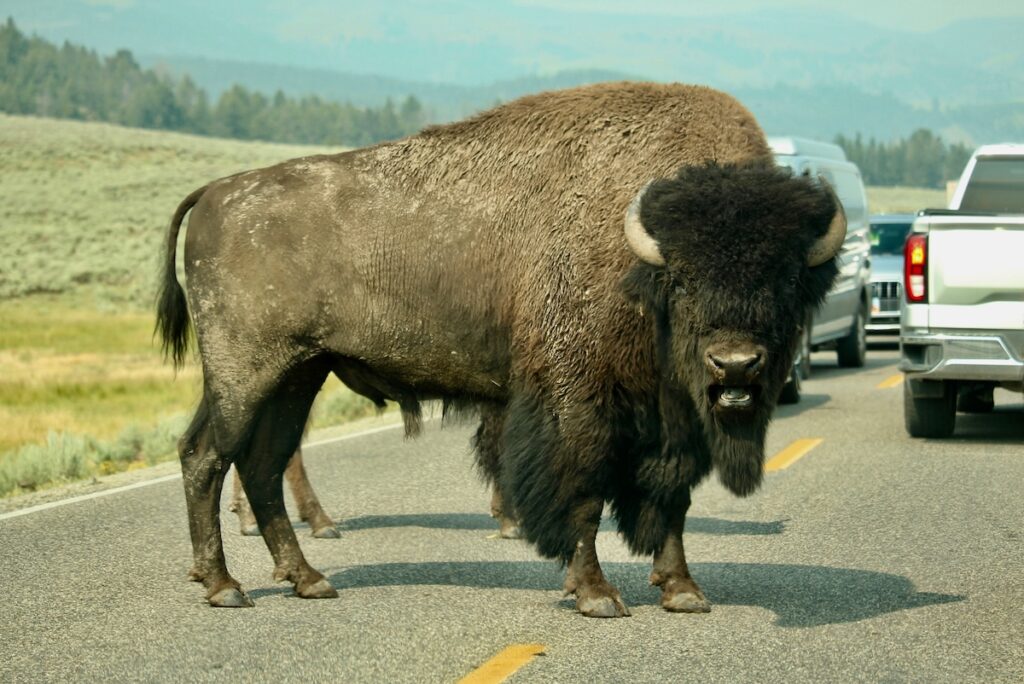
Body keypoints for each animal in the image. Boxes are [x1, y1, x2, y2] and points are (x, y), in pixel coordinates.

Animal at [157, 81, 843, 617]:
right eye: (683, 278)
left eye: (786, 280)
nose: (736, 365)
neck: (637, 262)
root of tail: (216, 193)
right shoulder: (576, 402)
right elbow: (582, 494)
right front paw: (596, 595)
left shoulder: (671, 425)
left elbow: (670, 501)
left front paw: (682, 591)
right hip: (245, 373)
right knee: (206, 457)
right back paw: (225, 587)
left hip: (297, 375)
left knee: (262, 464)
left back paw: (308, 580)